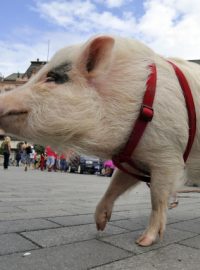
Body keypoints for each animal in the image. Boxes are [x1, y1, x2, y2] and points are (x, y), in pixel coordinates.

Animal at [0, 34, 200, 246]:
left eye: (53, 77)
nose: (1, 99)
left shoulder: (168, 155)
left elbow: (157, 197)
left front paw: (143, 241)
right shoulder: (134, 157)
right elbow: (113, 186)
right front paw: (100, 226)